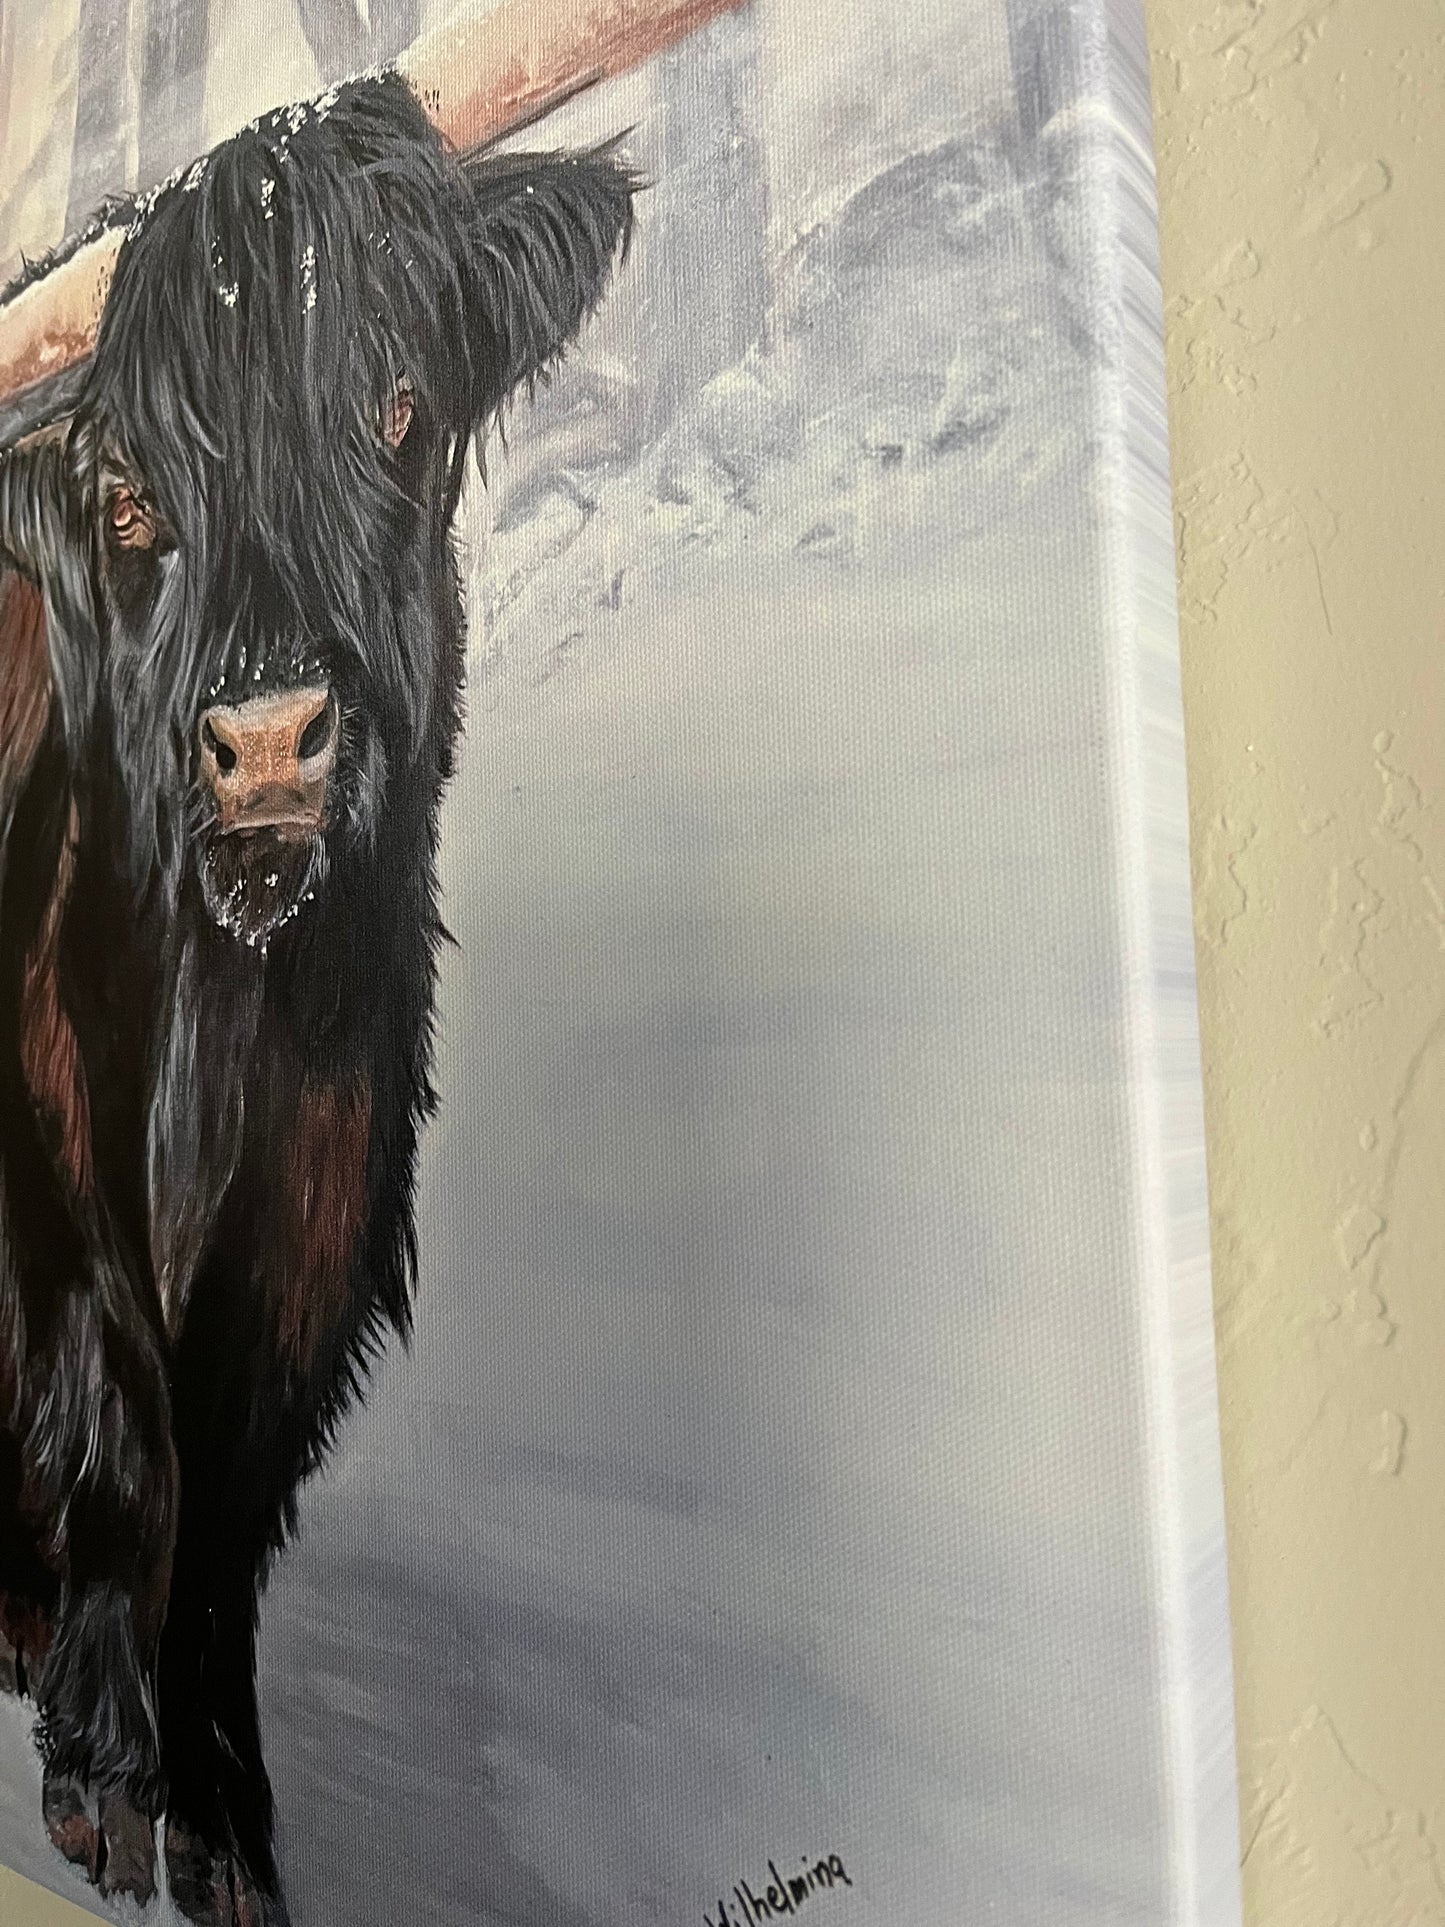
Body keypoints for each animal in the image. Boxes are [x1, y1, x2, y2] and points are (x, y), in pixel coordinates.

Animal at [0, 72, 635, 1924]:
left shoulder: (330, 1184)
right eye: (133, 498)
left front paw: (222, 1820)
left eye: (400, 407)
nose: (271, 740)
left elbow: (227, 1489)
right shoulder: (49, 1148)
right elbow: (125, 1411)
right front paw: (104, 1774)